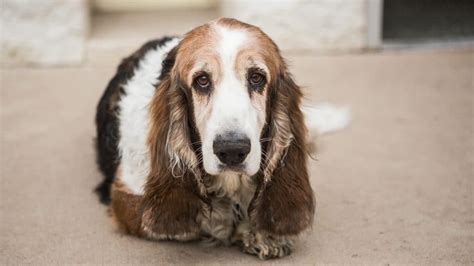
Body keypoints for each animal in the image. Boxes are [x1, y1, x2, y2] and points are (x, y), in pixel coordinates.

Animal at [94, 18, 350, 260]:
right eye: (202, 80)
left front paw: (263, 235)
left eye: (256, 78)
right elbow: (202, 221)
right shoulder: (126, 195)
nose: (233, 150)